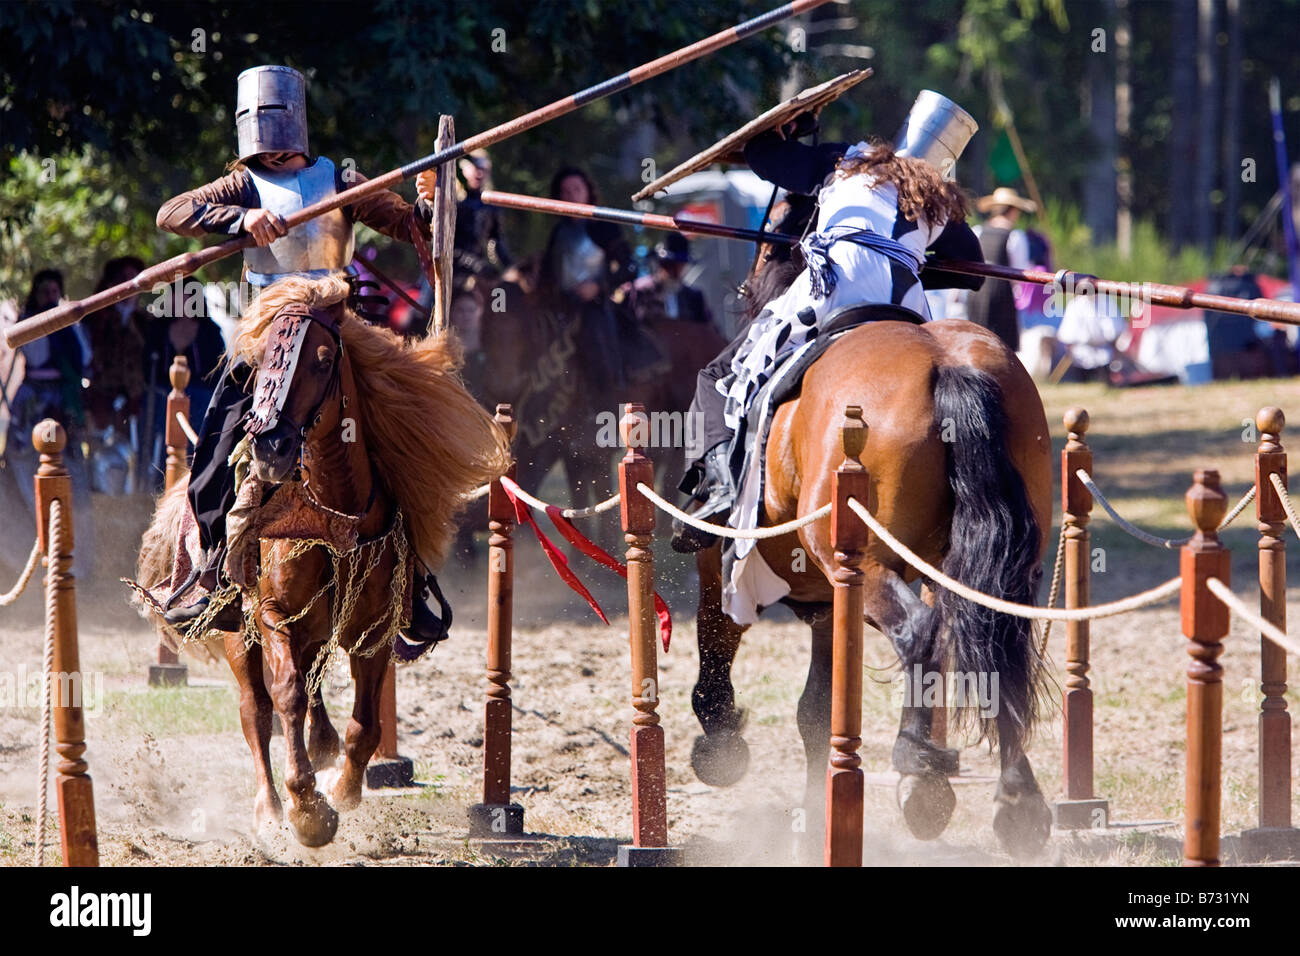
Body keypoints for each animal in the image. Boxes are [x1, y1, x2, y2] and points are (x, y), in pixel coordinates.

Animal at [133, 274, 506, 842]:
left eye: (324, 360)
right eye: (261, 359)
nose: (270, 445)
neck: (334, 514)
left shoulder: (375, 631)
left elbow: (366, 724)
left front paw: (344, 790)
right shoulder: (271, 617)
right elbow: (285, 697)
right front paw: (308, 810)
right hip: (239, 634)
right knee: (256, 710)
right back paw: (269, 808)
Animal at [691, 306, 1055, 858]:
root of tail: (948, 364)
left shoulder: (722, 572)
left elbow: (717, 659)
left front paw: (720, 747)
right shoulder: (829, 604)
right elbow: (817, 711)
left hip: (869, 567)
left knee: (919, 632)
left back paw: (919, 770)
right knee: (997, 649)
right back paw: (1016, 801)